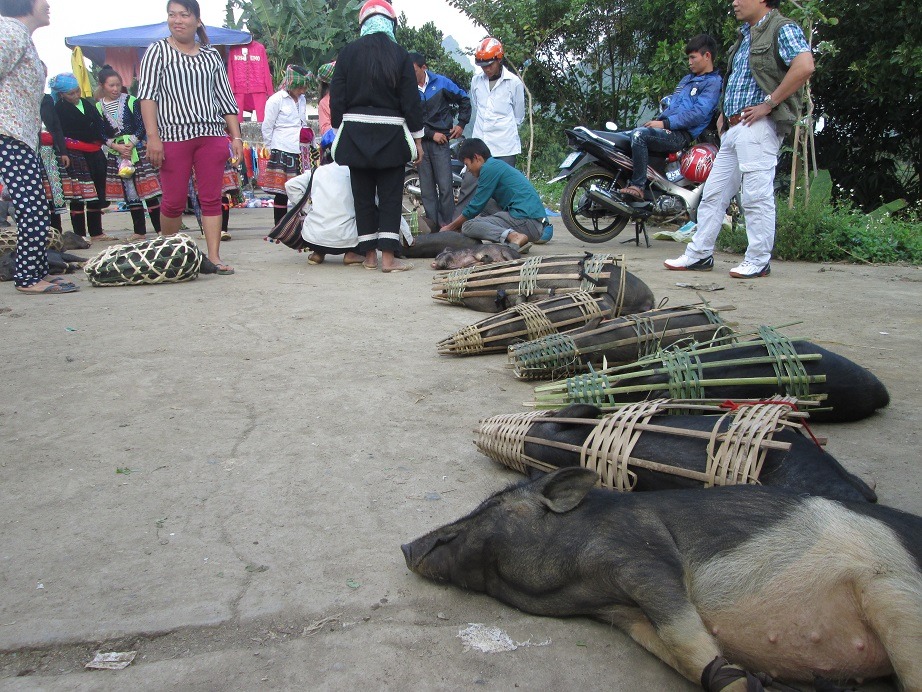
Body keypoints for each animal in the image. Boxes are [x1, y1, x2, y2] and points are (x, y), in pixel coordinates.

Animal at [402, 468, 920, 688]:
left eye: (492, 504)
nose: (406, 546)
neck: (581, 589)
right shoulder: (625, 614)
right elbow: (685, 656)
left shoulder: (644, 557)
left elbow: (685, 635)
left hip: (895, 594)